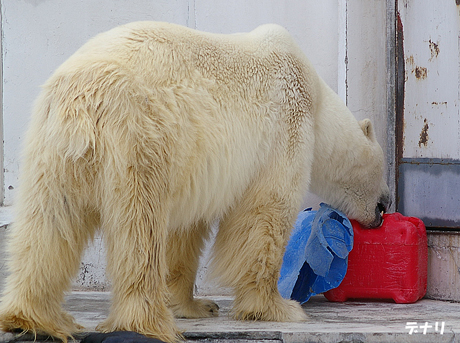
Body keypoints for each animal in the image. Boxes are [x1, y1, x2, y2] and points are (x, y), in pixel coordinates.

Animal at [0, 22, 388, 342]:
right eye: (383, 184)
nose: (383, 210)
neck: (318, 102)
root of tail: (83, 103)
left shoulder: (197, 164)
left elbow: (185, 229)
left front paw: (196, 305)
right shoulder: (284, 126)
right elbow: (266, 212)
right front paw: (277, 308)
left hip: (52, 151)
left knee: (48, 226)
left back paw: (31, 317)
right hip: (139, 136)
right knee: (140, 230)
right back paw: (146, 322)